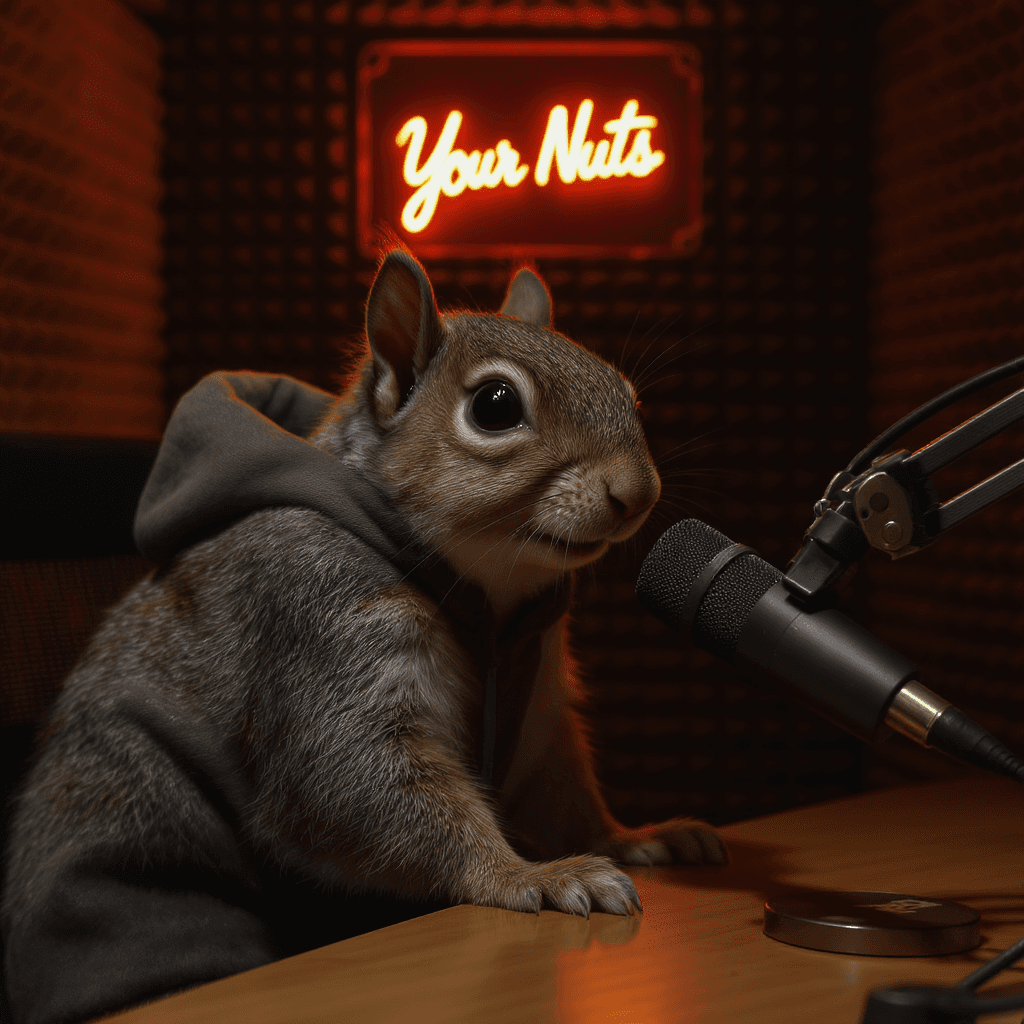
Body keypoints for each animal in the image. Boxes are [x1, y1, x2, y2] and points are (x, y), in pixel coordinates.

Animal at [1, 250, 726, 1024]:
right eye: (496, 406)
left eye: (626, 392)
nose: (638, 493)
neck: (495, 596)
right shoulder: (317, 616)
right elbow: (348, 779)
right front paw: (535, 874)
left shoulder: (539, 703)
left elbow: (559, 789)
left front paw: (634, 839)